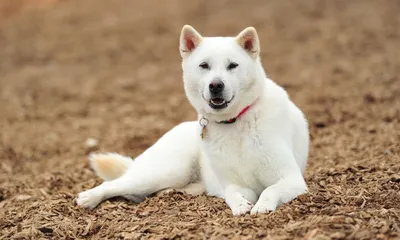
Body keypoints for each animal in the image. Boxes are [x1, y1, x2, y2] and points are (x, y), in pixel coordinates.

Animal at [77, 25, 310, 215]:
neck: (235, 121)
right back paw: (89, 197)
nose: (216, 85)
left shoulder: (291, 179)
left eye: (232, 65)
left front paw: (262, 206)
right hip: (167, 171)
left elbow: (270, 190)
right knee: (116, 185)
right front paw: (240, 206)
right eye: (204, 65)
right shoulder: (235, 184)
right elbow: (232, 195)